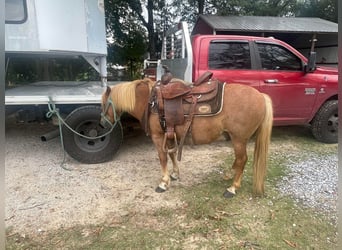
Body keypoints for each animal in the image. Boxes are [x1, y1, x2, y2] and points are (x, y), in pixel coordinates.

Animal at [101, 77, 272, 198]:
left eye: (103, 104)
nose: (102, 124)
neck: (151, 102)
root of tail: (261, 96)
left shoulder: (158, 136)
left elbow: (163, 157)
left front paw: (164, 183)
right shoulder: (170, 134)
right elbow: (171, 154)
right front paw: (175, 174)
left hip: (239, 139)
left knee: (242, 160)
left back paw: (232, 188)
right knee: (238, 160)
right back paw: (229, 176)